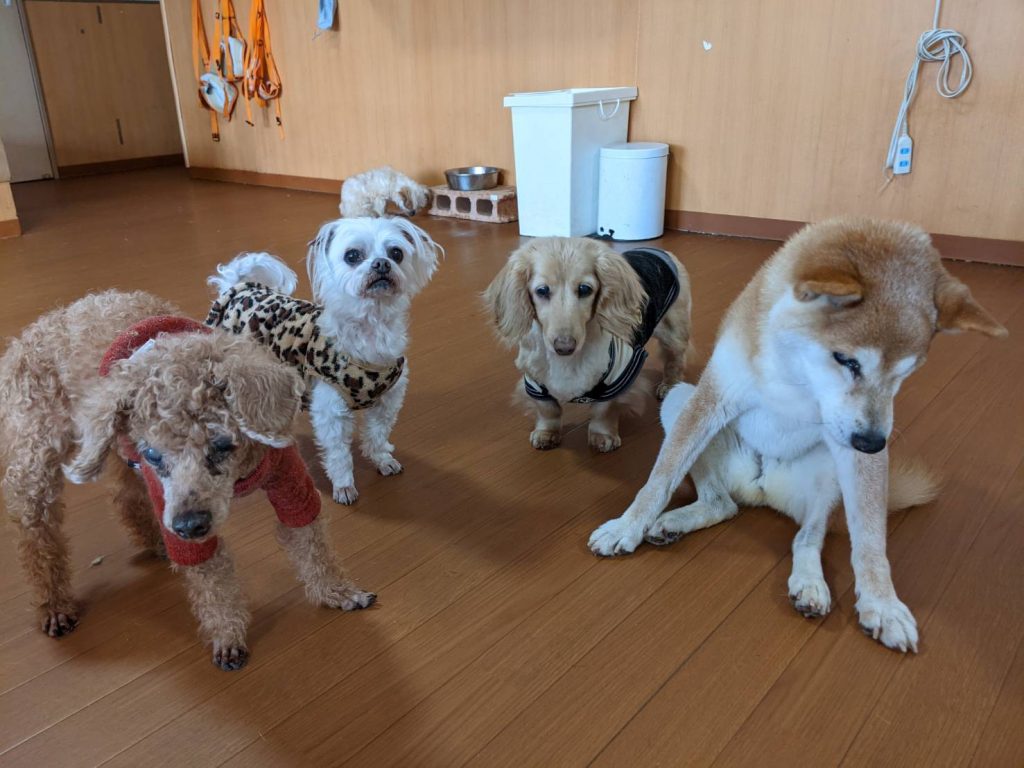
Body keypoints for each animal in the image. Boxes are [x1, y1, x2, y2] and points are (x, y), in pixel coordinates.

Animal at [0, 291, 375, 670]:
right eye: (154, 455)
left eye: (222, 444)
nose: (189, 527)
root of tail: (33, 331)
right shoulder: (168, 494)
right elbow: (211, 578)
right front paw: (227, 634)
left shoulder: (286, 475)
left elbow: (310, 539)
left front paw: (336, 590)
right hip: (38, 459)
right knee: (37, 537)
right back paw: (54, 604)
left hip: (119, 447)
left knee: (126, 499)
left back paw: (155, 541)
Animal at [207, 214, 442, 505]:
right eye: (352, 255)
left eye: (396, 253)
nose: (381, 263)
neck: (369, 330)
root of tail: (238, 287)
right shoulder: (332, 411)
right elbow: (339, 454)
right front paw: (344, 486)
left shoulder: (387, 401)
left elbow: (377, 434)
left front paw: (382, 459)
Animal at [483, 237, 692, 453]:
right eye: (542, 290)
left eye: (584, 289)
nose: (564, 346)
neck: (566, 362)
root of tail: (659, 252)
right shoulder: (534, 382)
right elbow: (548, 410)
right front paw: (546, 433)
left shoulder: (618, 377)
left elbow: (604, 410)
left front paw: (603, 436)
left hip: (672, 332)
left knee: (675, 361)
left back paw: (669, 386)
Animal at [588, 218, 1008, 652]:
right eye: (846, 360)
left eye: (905, 374)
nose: (874, 443)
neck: (798, 371)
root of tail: (761, 489)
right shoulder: (711, 400)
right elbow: (659, 481)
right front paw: (627, 527)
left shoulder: (856, 443)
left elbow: (871, 538)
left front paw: (882, 602)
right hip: (680, 401)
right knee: (721, 503)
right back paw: (674, 523)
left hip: (827, 468)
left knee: (808, 536)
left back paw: (809, 584)